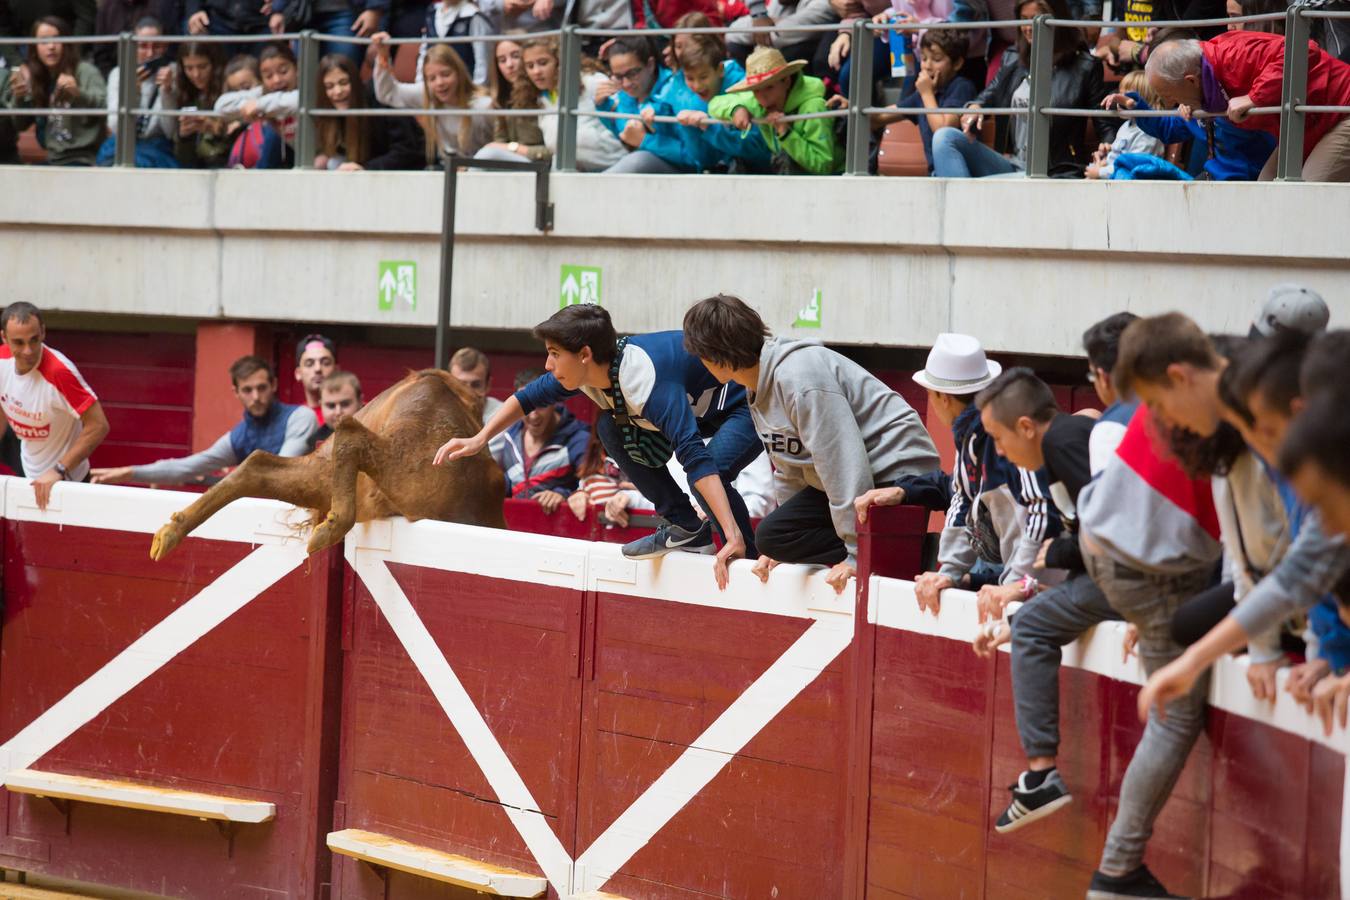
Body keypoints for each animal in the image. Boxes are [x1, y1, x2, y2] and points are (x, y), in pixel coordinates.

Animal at [149, 369, 507, 558]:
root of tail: (434, 382)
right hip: (418, 479)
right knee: (350, 433)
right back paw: (329, 531)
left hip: (325, 473)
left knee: (258, 464)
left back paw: (168, 534)